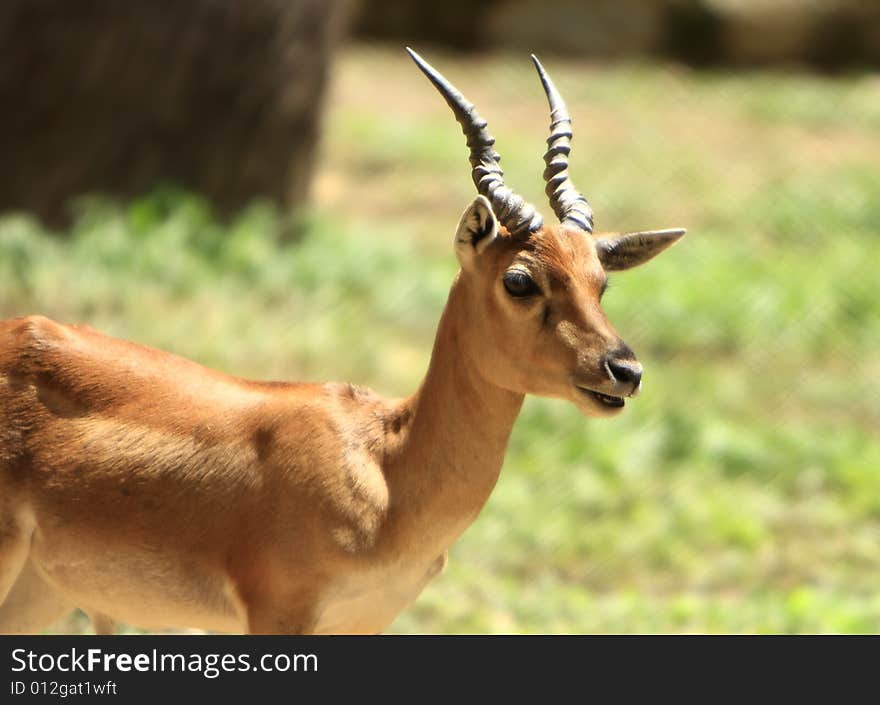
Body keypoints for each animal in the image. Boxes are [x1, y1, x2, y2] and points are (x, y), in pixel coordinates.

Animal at [0, 49, 684, 632]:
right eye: (519, 280)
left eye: (600, 280)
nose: (624, 370)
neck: (385, 469)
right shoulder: (279, 613)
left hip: (39, 591)